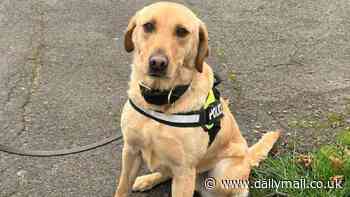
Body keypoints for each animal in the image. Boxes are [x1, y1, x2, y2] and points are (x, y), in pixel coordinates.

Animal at [116, 1, 280, 197]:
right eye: (148, 26)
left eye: (182, 31)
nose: (157, 63)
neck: (161, 100)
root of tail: (247, 156)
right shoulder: (130, 151)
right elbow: (122, 188)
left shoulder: (184, 170)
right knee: (166, 172)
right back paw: (147, 179)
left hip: (221, 175)